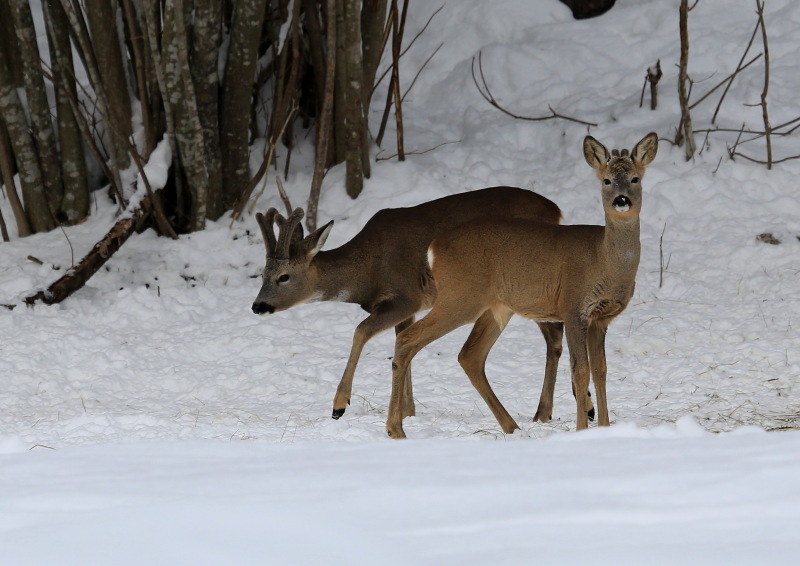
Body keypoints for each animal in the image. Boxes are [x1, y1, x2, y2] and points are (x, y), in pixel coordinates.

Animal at [253, 189, 596, 424]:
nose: (257, 306)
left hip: (528, 287)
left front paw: (340, 404)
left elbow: (361, 331)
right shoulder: (408, 307)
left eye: (284, 276)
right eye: (262, 273)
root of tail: (556, 210)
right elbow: (399, 343)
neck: (366, 270)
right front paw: (407, 410)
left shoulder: (406, 295)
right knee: (555, 337)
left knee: (554, 337)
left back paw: (558, 410)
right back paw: (558, 410)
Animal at [384, 132, 660, 440]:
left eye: (635, 178)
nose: (622, 200)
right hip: (460, 297)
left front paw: (605, 428)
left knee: (469, 355)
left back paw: (511, 426)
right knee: (407, 338)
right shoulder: (573, 307)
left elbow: (601, 370)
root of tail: (434, 247)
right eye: (607, 180)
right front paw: (581, 429)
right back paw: (395, 429)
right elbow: (581, 371)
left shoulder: (601, 318)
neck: (604, 261)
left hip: (496, 307)